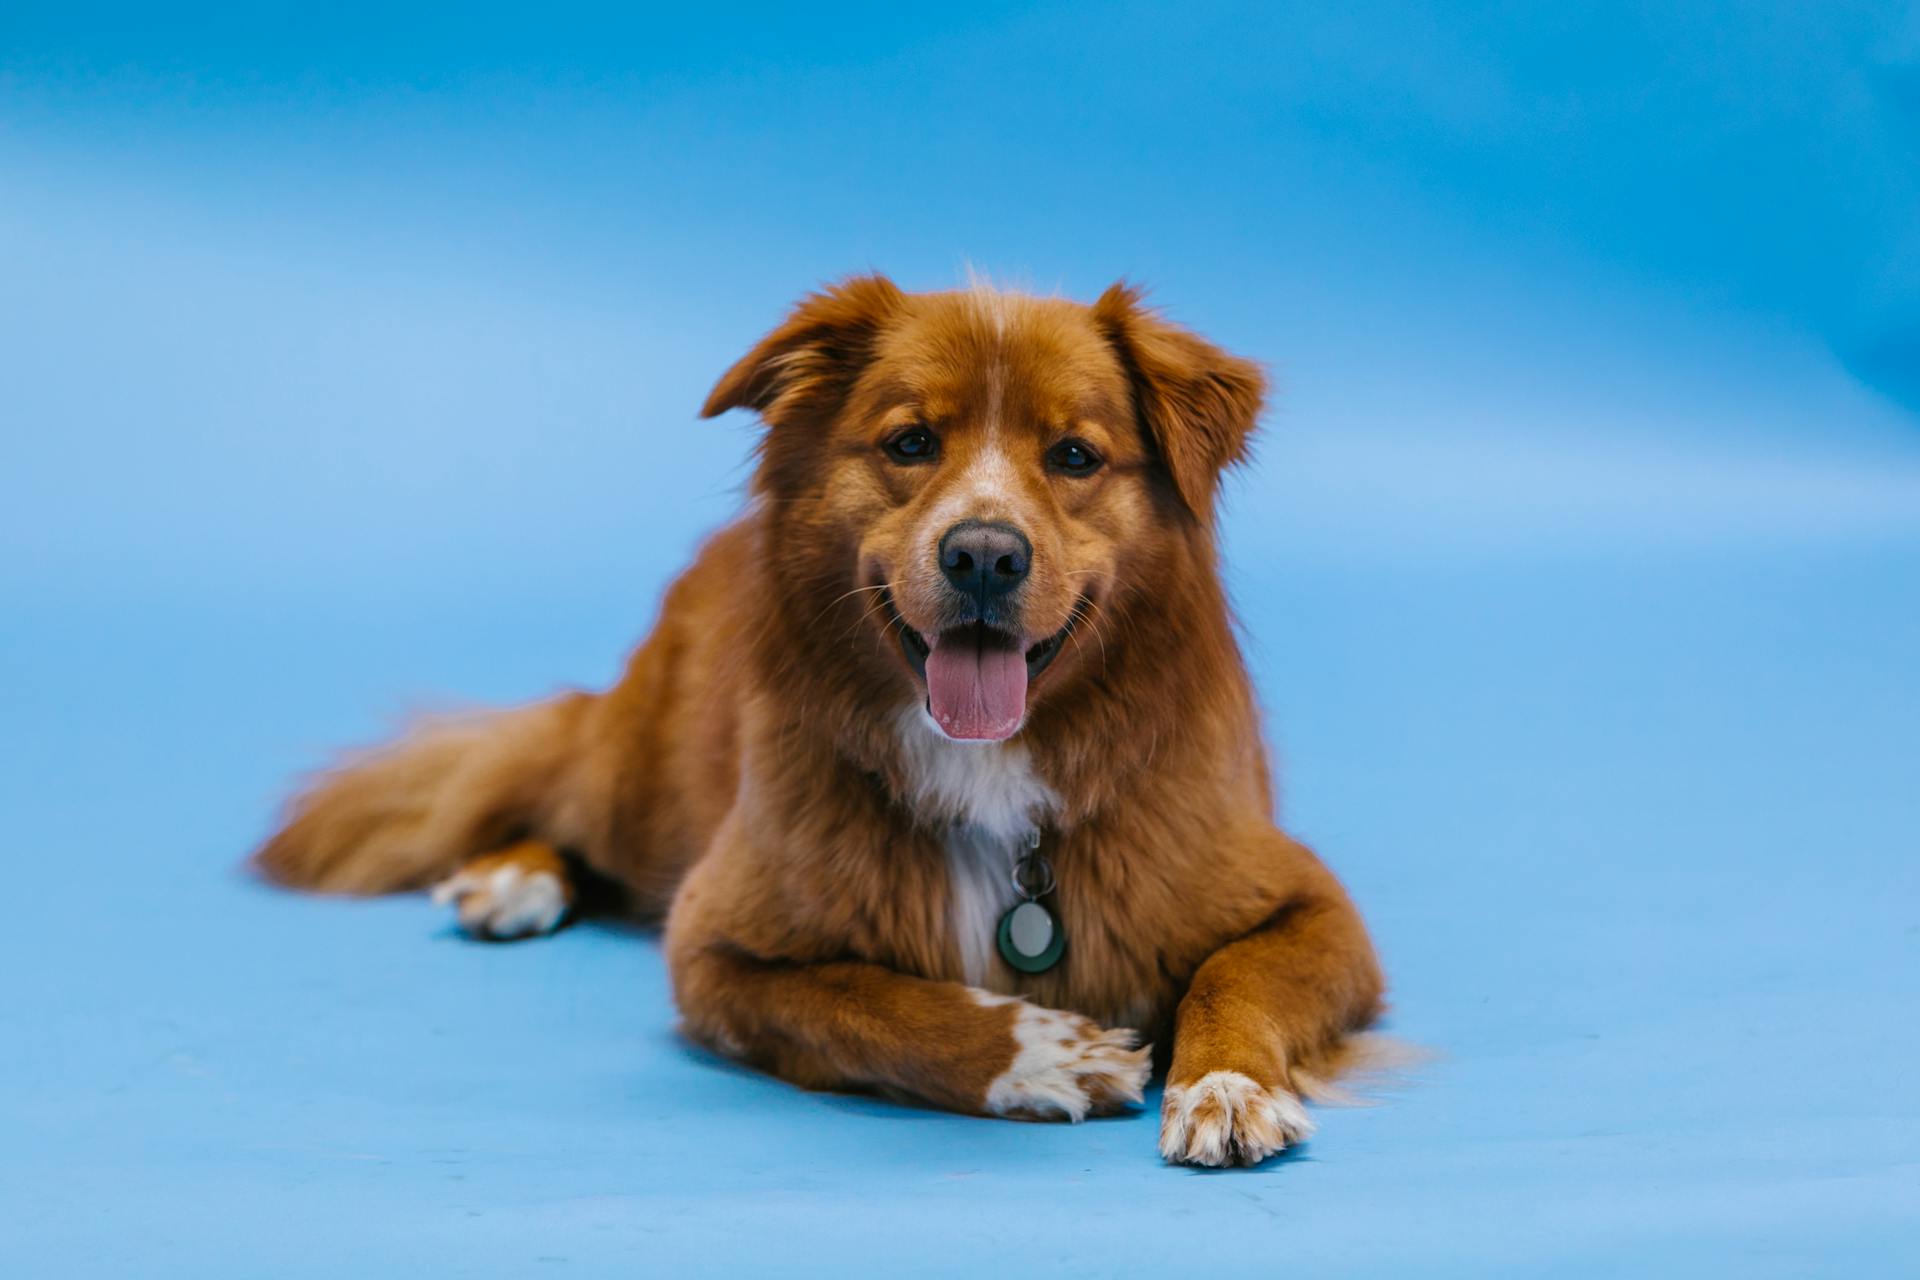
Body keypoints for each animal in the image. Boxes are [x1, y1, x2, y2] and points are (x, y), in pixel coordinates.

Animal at [255, 276, 1382, 1166]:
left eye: (1074, 455)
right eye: (909, 442)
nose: (983, 554)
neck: (991, 769)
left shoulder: (1314, 904)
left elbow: (1236, 973)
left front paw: (1225, 1085)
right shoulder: (713, 946)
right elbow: (869, 1002)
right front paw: (1040, 1054)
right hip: (639, 785)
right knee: (561, 796)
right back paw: (512, 877)